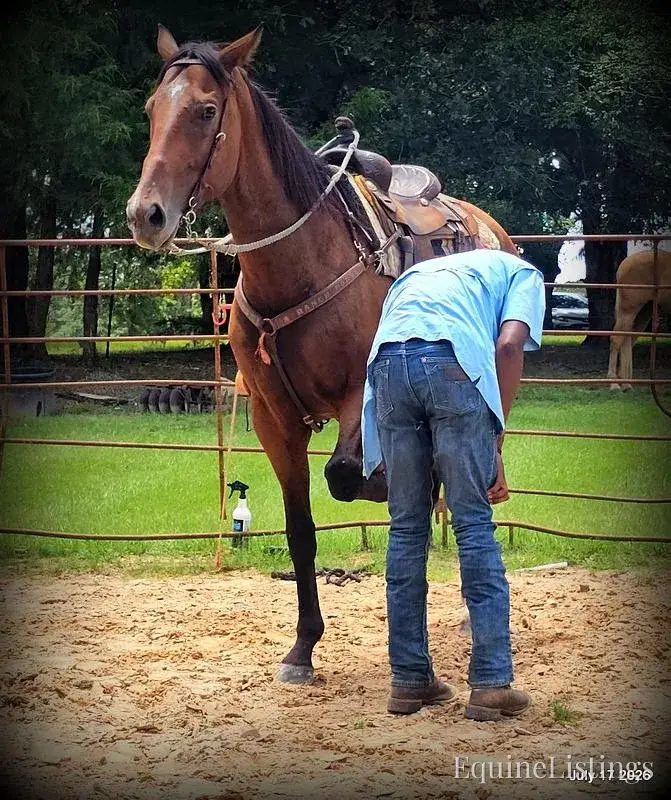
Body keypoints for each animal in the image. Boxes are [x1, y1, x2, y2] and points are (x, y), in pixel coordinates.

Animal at [126, 26, 518, 684]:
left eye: (206, 111)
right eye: (154, 109)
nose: (145, 214)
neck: (300, 264)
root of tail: (495, 232)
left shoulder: (359, 399)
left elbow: (345, 476)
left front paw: (377, 485)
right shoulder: (273, 419)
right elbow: (301, 528)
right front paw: (302, 648)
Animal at [607, 250, 671, 390]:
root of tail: (625, 263)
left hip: (644, 311)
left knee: (628, 339)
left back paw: (626, 384)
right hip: (629, 309)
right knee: (617, 339)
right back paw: (614, 384)